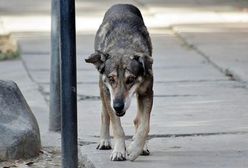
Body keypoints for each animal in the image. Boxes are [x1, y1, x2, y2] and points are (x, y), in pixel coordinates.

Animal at [85, 4, 153, 161]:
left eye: (131, 79)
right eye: (111, 79)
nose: (118, 106)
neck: (123, 46)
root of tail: (121, 4)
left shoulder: (147, 93)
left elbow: (144, 125)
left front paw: (135, 148)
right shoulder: (108, 94)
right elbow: (117, 127)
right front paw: (118, 151)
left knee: (138, 119)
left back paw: (142, 146)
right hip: (103, 90)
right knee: (104, 114)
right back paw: (104, 141)